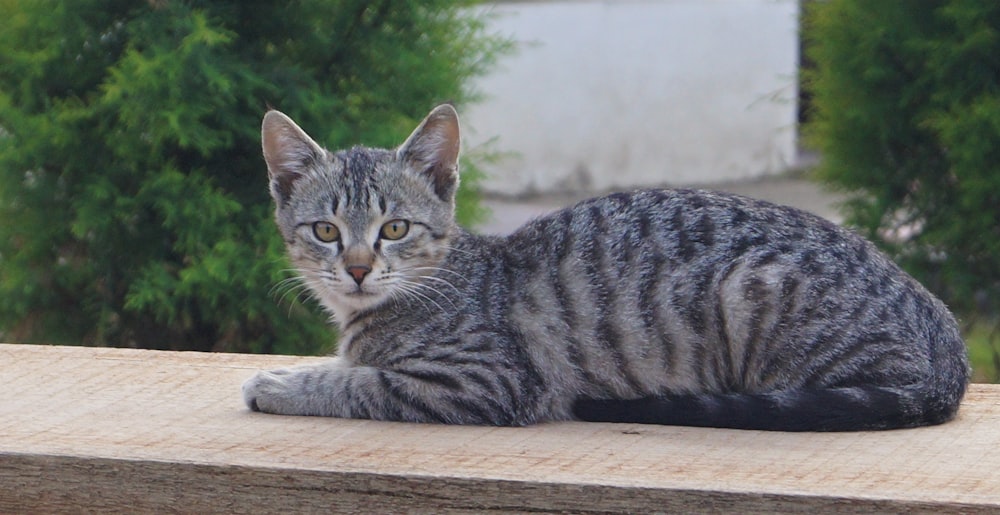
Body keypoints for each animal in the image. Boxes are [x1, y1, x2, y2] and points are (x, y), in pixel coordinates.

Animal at [242, 104, 968, 432]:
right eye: (327, 231)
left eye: (394, 228)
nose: (360, 268)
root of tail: (946, 336)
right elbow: (351, 367)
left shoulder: (483, 381)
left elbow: (360, 383)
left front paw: (281, 383)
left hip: (755, 292)